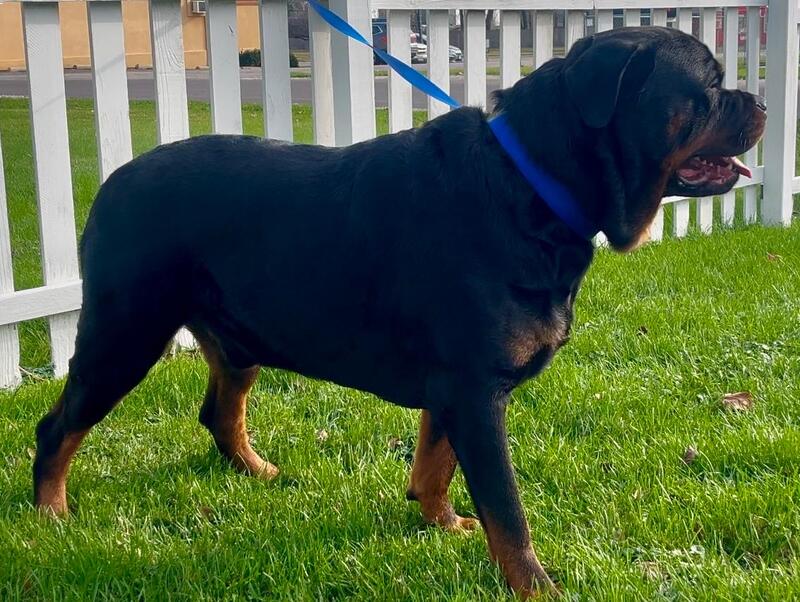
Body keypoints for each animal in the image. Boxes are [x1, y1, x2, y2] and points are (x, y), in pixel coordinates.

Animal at [33, 27, 764, 597]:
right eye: (708, 84)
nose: (757, 100)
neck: (531, 186)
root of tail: (113, 181)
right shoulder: (475, 389)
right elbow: (508, 510)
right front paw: (536, 587)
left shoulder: (453, 390)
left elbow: (434, 466)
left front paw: (439, 522)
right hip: (125, 333)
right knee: (58, 427)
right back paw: (50, 515)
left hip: (233, 338)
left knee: (219, 412)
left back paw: (258, 472)